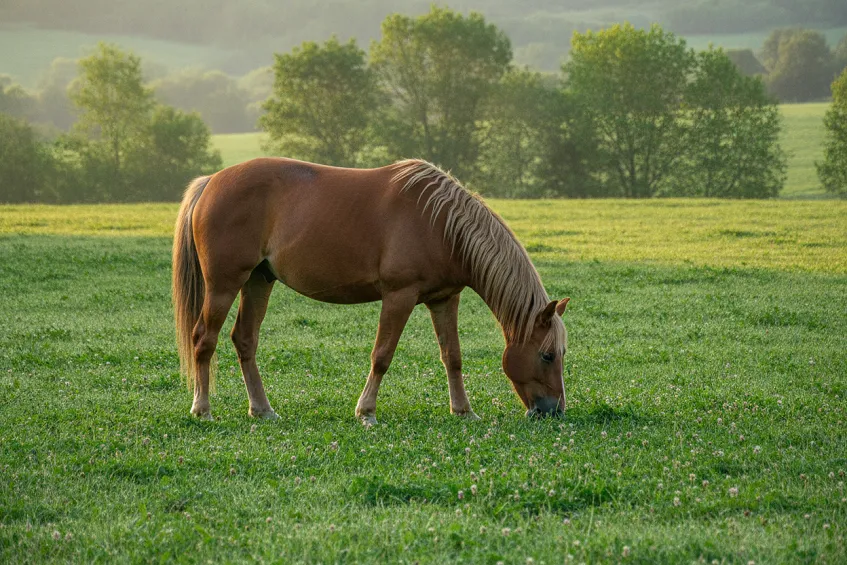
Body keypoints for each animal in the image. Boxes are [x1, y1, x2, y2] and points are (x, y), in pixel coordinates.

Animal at [172, 157, 569, 425]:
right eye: (548, 355)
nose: (554, 411)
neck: (440, 223)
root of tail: (211, 181)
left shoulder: (444, 299)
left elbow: (452, 357)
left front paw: (463, 411)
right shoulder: (399, 296)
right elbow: (382, 355)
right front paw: (366, 412)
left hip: (258, 281)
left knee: (245, 340)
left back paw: (262, 409)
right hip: (224, 285)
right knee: (204, 339)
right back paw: (202, 409)